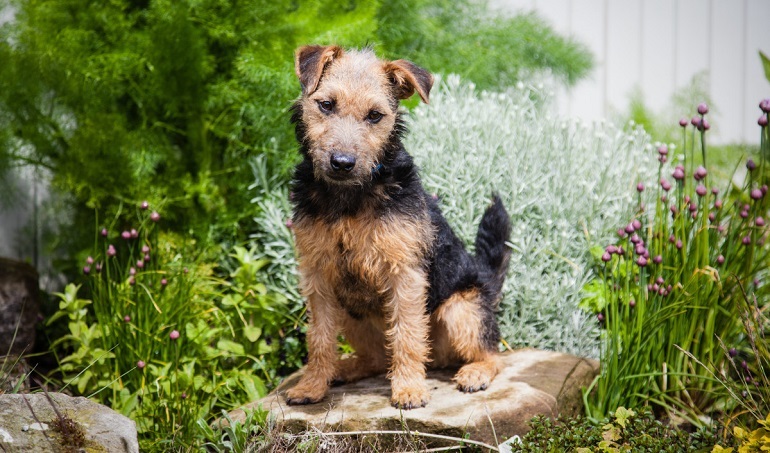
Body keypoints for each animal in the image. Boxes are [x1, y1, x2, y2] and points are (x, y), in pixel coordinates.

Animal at [282, 46, 510, 410]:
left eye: (375, 115)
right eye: (326, 104)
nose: (342, 163)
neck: (348, 197)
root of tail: (487, 281)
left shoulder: (404, 273)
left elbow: (406, 335)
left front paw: (408, 390)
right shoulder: (318, 277)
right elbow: (319, 338)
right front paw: (311, 386)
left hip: (461, 310)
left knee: (492, 353)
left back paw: (474, 373)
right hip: (351, 311)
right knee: (375, 358)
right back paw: (343, 370)